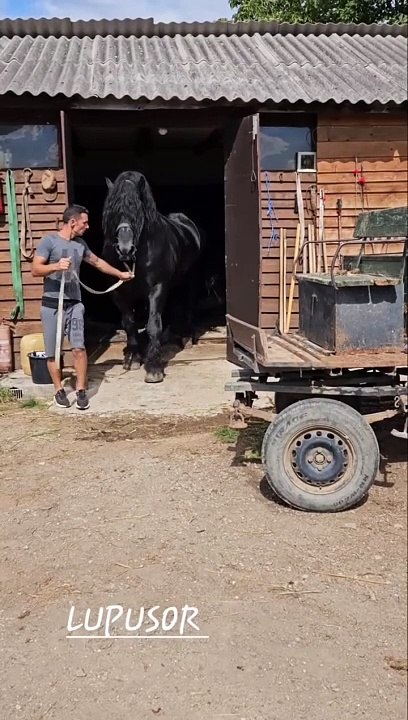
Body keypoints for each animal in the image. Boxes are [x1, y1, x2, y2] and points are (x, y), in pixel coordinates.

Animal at [101, 170, 203, 383]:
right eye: (111, 213)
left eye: (138, 211)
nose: (125, 249)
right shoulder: (119, 293)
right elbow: (129, 323)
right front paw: (133, 357)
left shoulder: (157, 287)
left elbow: (153, 325)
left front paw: (154, 368)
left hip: (191, 279)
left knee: (188, 305)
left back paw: (187, 336)